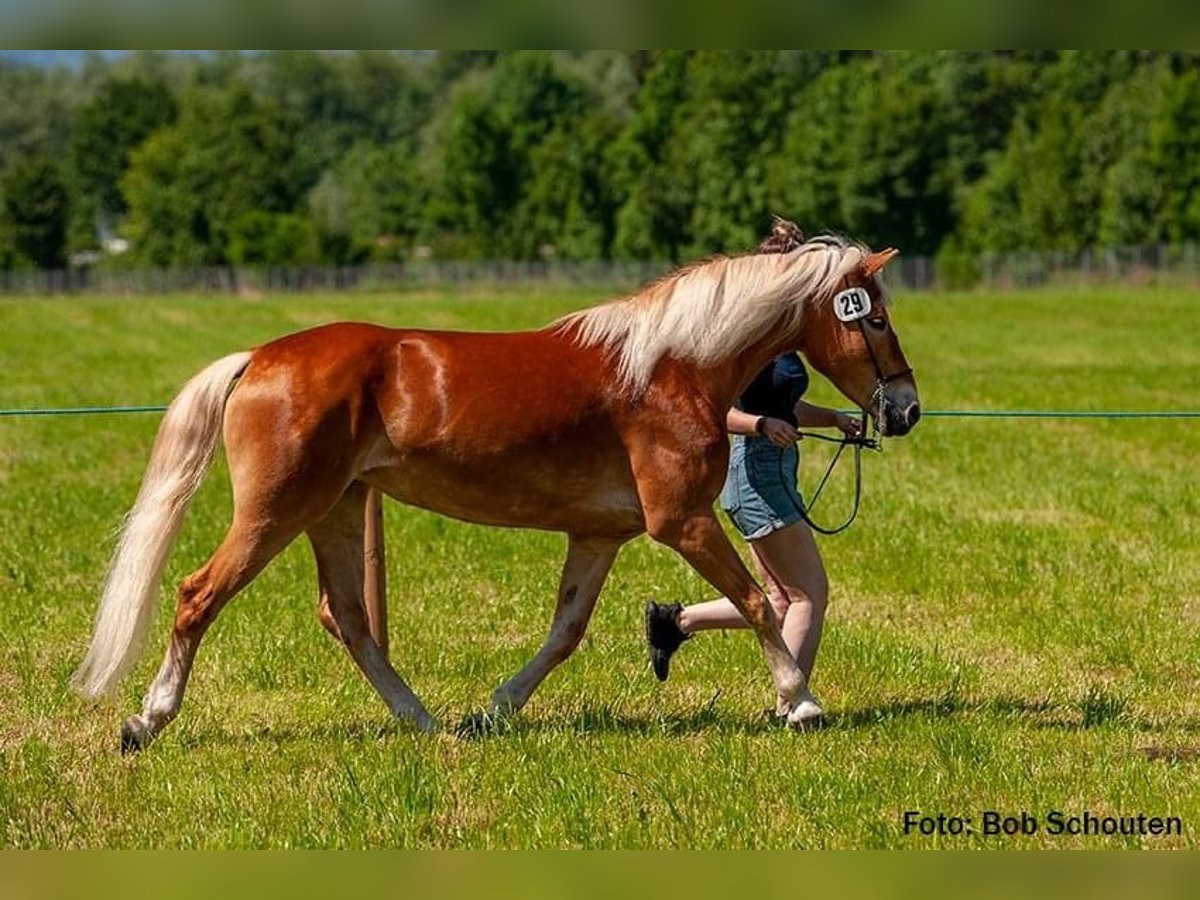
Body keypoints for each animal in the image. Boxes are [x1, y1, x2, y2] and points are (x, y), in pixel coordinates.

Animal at [72, 230, 916, 748]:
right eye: (873, 317)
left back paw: (426, 723)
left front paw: (494, 712)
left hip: (337, 509)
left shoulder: (599, 535)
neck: (670, 368)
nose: (902, 409)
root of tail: (259, 357)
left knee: (347, 617)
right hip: (276, 512)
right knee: (197, 595)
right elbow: (756, 601)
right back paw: (145, 723)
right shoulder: (683, 522)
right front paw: (799, 701)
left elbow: (564, 632)